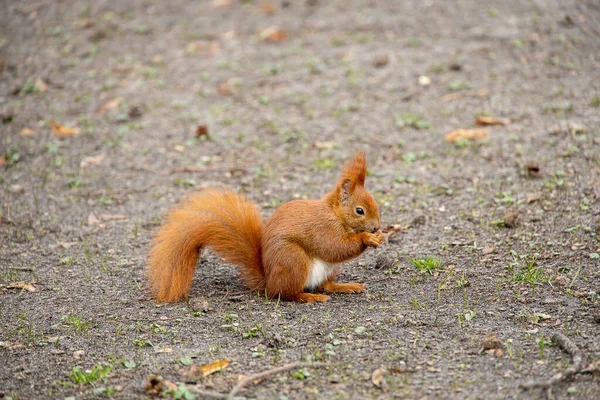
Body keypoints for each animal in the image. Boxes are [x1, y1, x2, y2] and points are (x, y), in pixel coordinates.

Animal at [149, 152, 384, 302]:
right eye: (360, 210)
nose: (376, 227)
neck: (335, 214)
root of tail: (268, 280)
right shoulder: (322, 228)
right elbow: (333, 247)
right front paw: (367, 238)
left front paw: (381, 236)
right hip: (293, 261)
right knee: (286, 294)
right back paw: (309, 296)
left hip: (328, 269)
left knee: (324, 284)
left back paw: (345, 286)